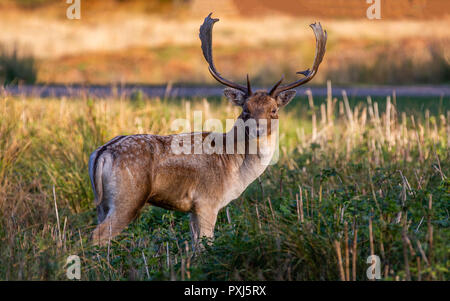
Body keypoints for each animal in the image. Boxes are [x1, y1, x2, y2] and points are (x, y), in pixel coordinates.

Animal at [89, 12, 326, 246]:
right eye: (245, 109)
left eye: (274, 110)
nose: (256, 129)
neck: (234, 168)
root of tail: (102, 153)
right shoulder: (207, 201)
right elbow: (206, 244)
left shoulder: (193, 209)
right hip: (128, 197)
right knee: (97, 236)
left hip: (102, 202)